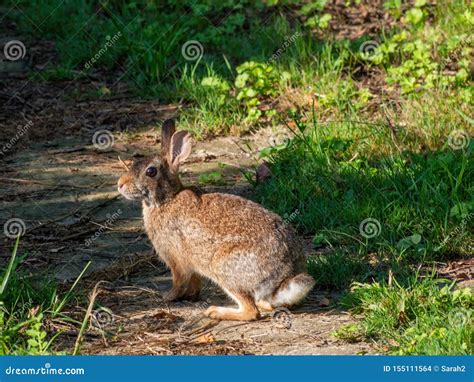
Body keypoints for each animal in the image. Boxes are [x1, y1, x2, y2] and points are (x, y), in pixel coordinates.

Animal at [117, 118, 314, 320]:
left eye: (150, 171)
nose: (120, 185)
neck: (166, 200)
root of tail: (285, 276)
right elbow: (194, 281)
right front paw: (192, 296)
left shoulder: (176, 259)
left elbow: (179, 281)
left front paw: (167, 297)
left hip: (223, 268)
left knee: (251, 311)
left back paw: (215, 311)